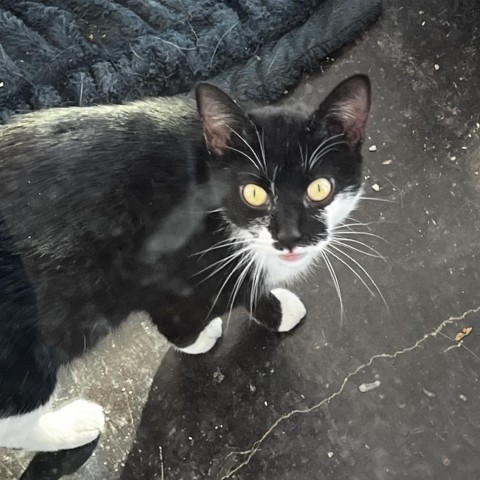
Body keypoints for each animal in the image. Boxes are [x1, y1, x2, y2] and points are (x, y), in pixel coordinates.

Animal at [0, 74, 372, 450]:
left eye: (320, 188)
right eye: (254, 194)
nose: (289, 236)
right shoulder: (159, 267)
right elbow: (212, 297)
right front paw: (218, 330)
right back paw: (71, 426)